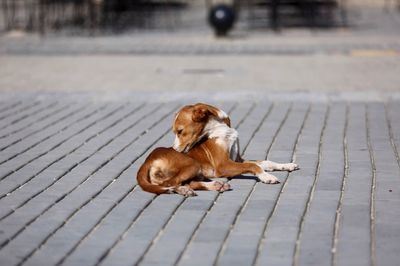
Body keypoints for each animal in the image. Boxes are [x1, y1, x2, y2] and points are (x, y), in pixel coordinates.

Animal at [137, 103, 296, 196]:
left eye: (180, 131)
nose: (175, 149)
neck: (220, 129)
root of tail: (147, 161)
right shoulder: (223, 165)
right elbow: (253, 166)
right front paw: (266, 176)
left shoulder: (237, 159)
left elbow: (266, 162)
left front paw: (286, 165)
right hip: (192, 164)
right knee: (170, 184)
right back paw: (185, 189)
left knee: (188, 182)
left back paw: (215, 185)